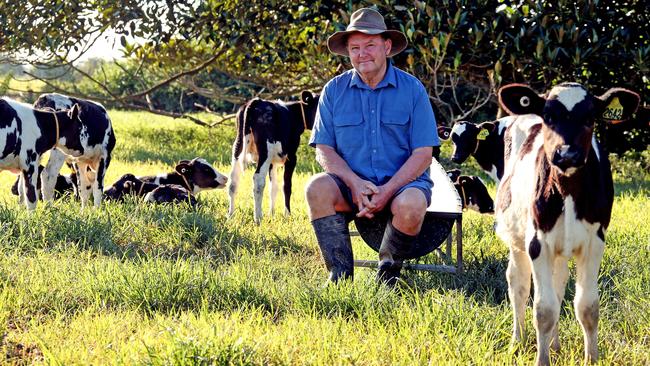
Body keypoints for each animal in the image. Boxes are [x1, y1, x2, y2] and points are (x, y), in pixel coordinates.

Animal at [228, 90, 318, 224]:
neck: (293, 114)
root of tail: (256, 101)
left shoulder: (272, 162)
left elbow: (273, 187)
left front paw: (272, 214)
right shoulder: (291, 157)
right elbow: (286, 186)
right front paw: (287, 214)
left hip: (238, 146)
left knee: (233, 181)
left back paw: (230, 215)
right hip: (266, 151)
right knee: (258, 180)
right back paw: (258, 217)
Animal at [494, 83, 636, 366]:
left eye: (590, 118)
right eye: (549, 117)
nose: (568, 153)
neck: (568, 189)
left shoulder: (595, 242)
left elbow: (587, 306)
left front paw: (591, 358)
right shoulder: (537, 242)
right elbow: (543, 309)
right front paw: (542, 359)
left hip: (560, 248)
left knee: (558, 285)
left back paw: (556, 345)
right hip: (516, 239)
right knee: (518, 284)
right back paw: (518, 341)